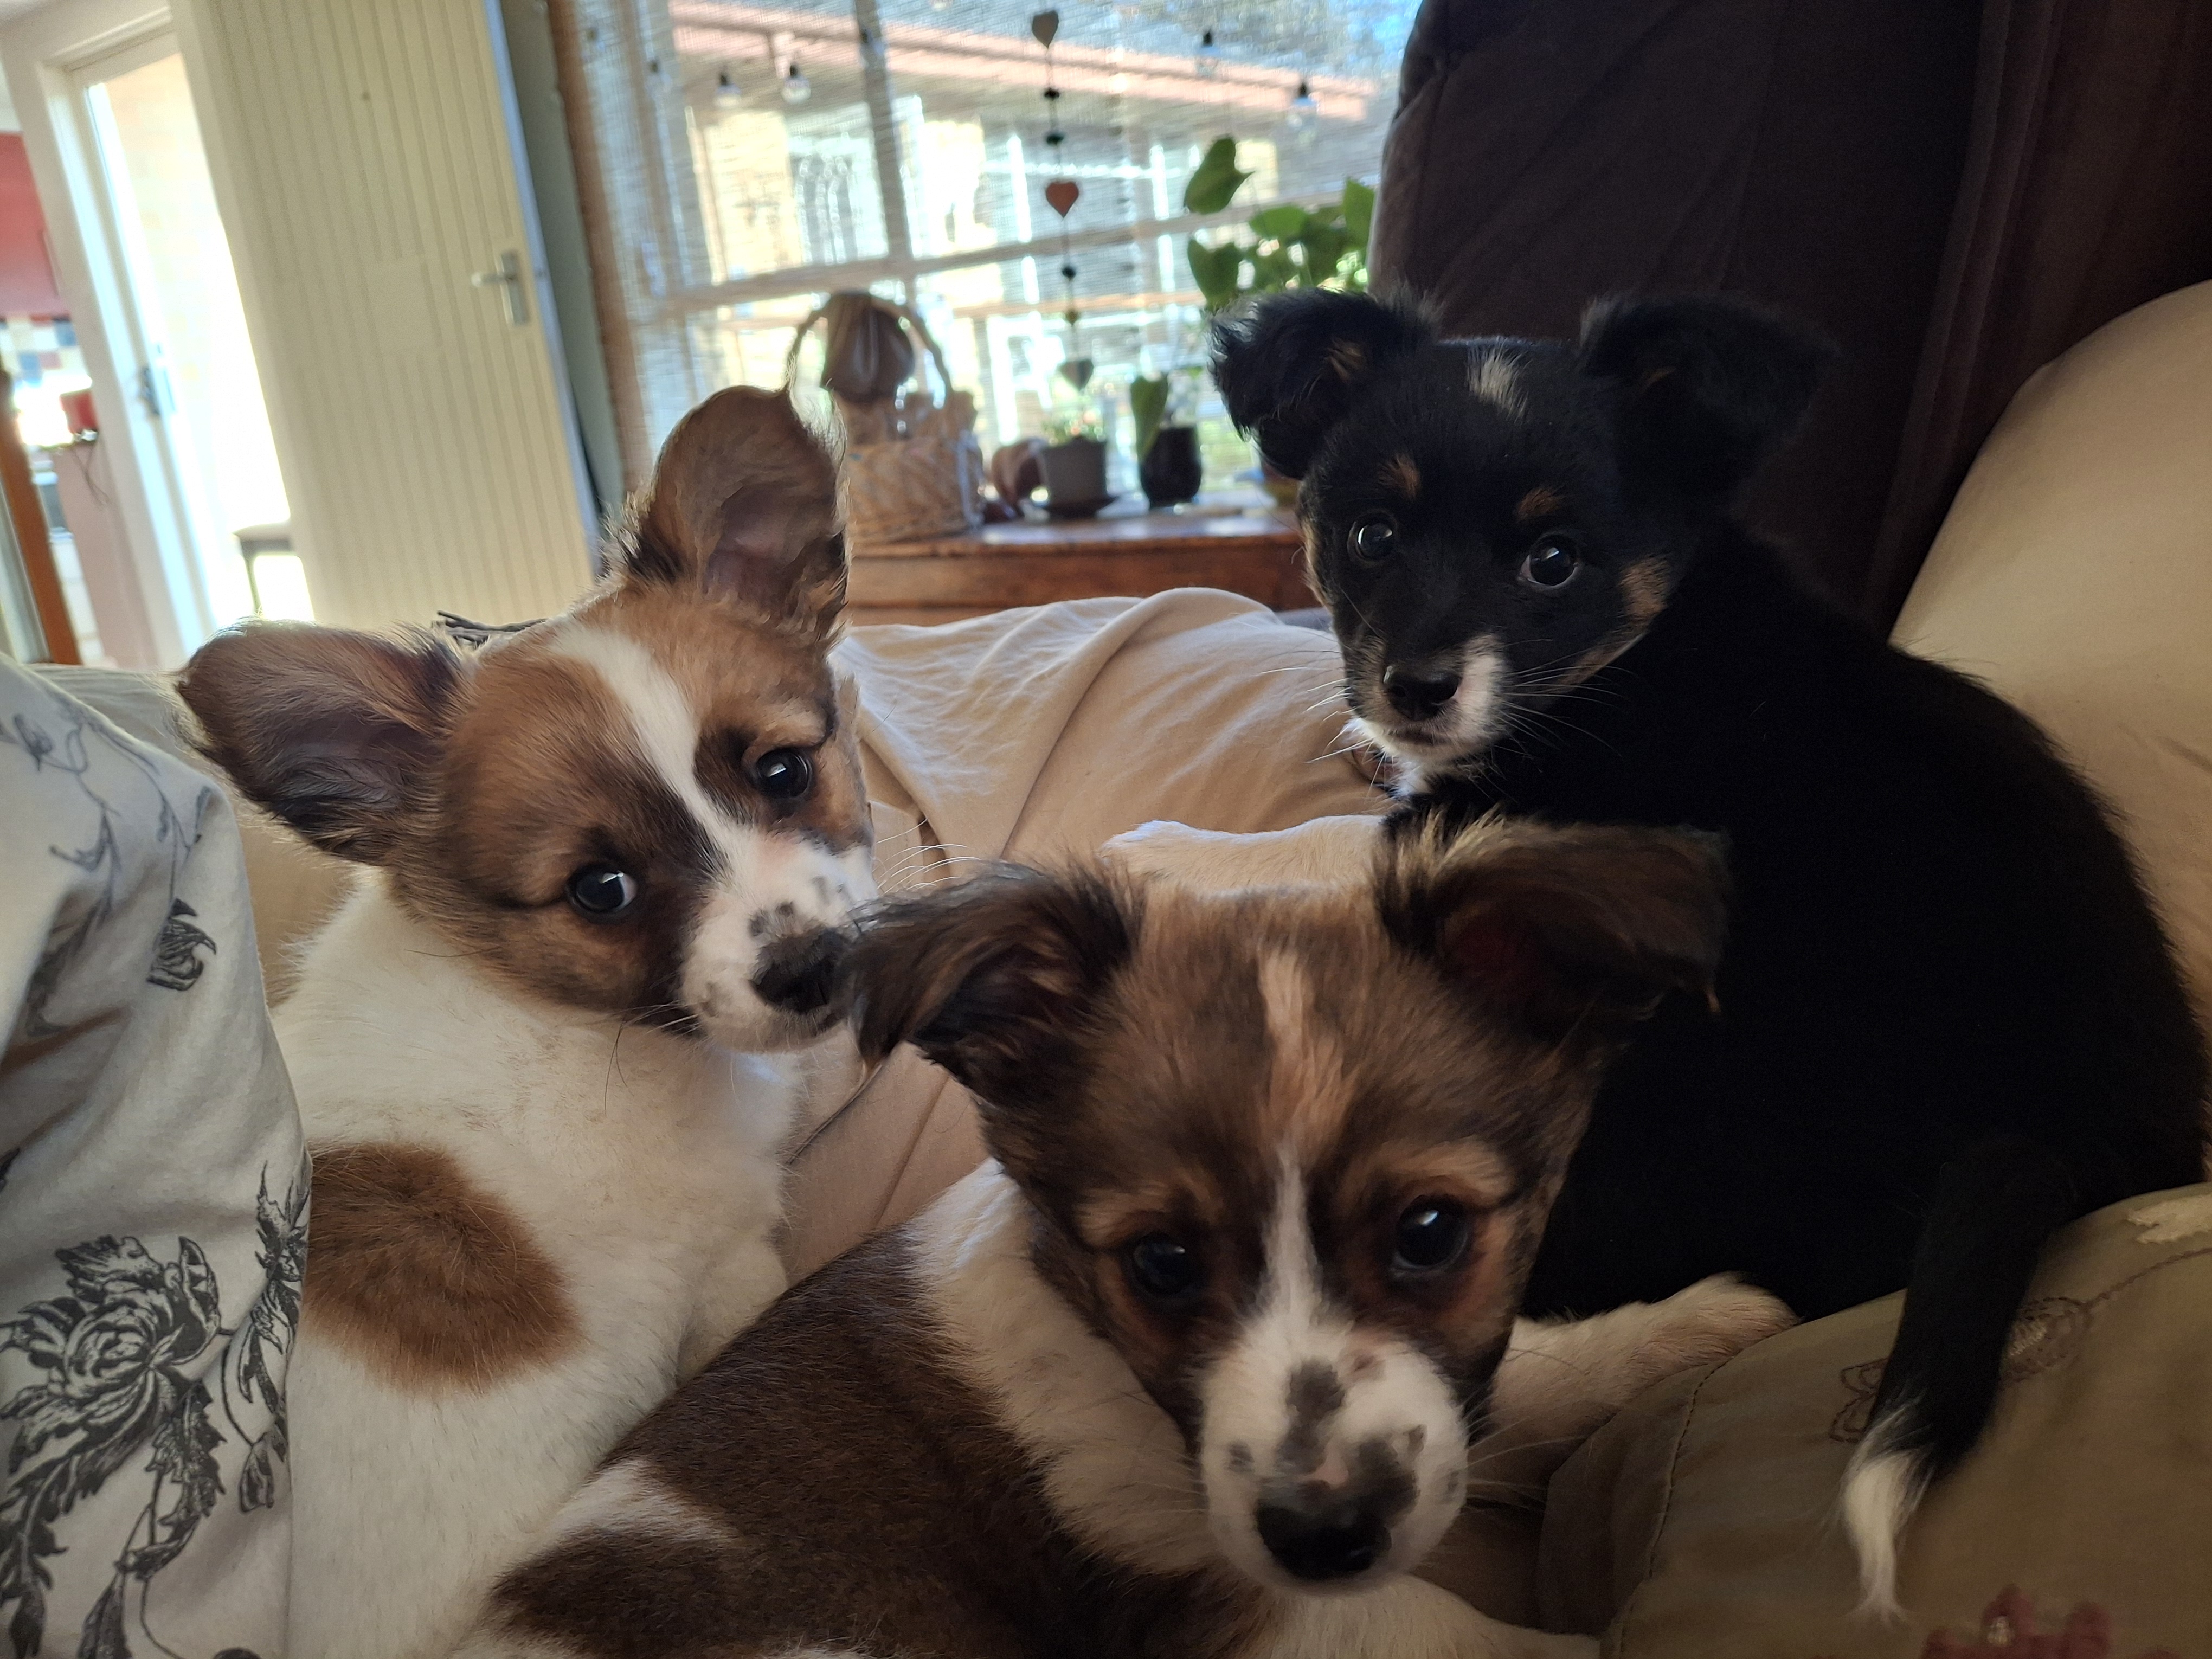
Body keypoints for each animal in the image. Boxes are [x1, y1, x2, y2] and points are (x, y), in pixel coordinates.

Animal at [457, 821, 1794, 1659]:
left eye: (1430, 1233)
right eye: (1164, 1264)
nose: (1325, 1538)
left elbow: (1523, 1383)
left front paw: (1685, 1330)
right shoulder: (1229, 1611)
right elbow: (1468, 1634)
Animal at [1111, 288, 2210, 1615]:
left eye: (1552, 559)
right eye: (1372, 533)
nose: (1412, 690)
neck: (1637, 648)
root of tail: (2081, 1163)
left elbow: (1306, 857)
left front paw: (1152, 846)